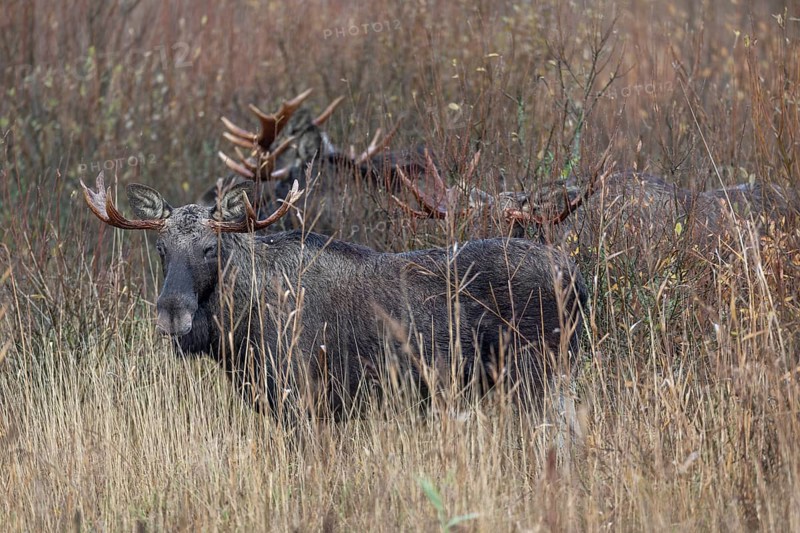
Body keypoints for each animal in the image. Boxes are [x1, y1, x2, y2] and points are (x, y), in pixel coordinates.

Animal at [80, 168, 588, 421]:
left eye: (211, 247)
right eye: (161, 248)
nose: (173, 313)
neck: (237, 330)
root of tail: (578, 277)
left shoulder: (302, 400)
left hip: (535, 376)